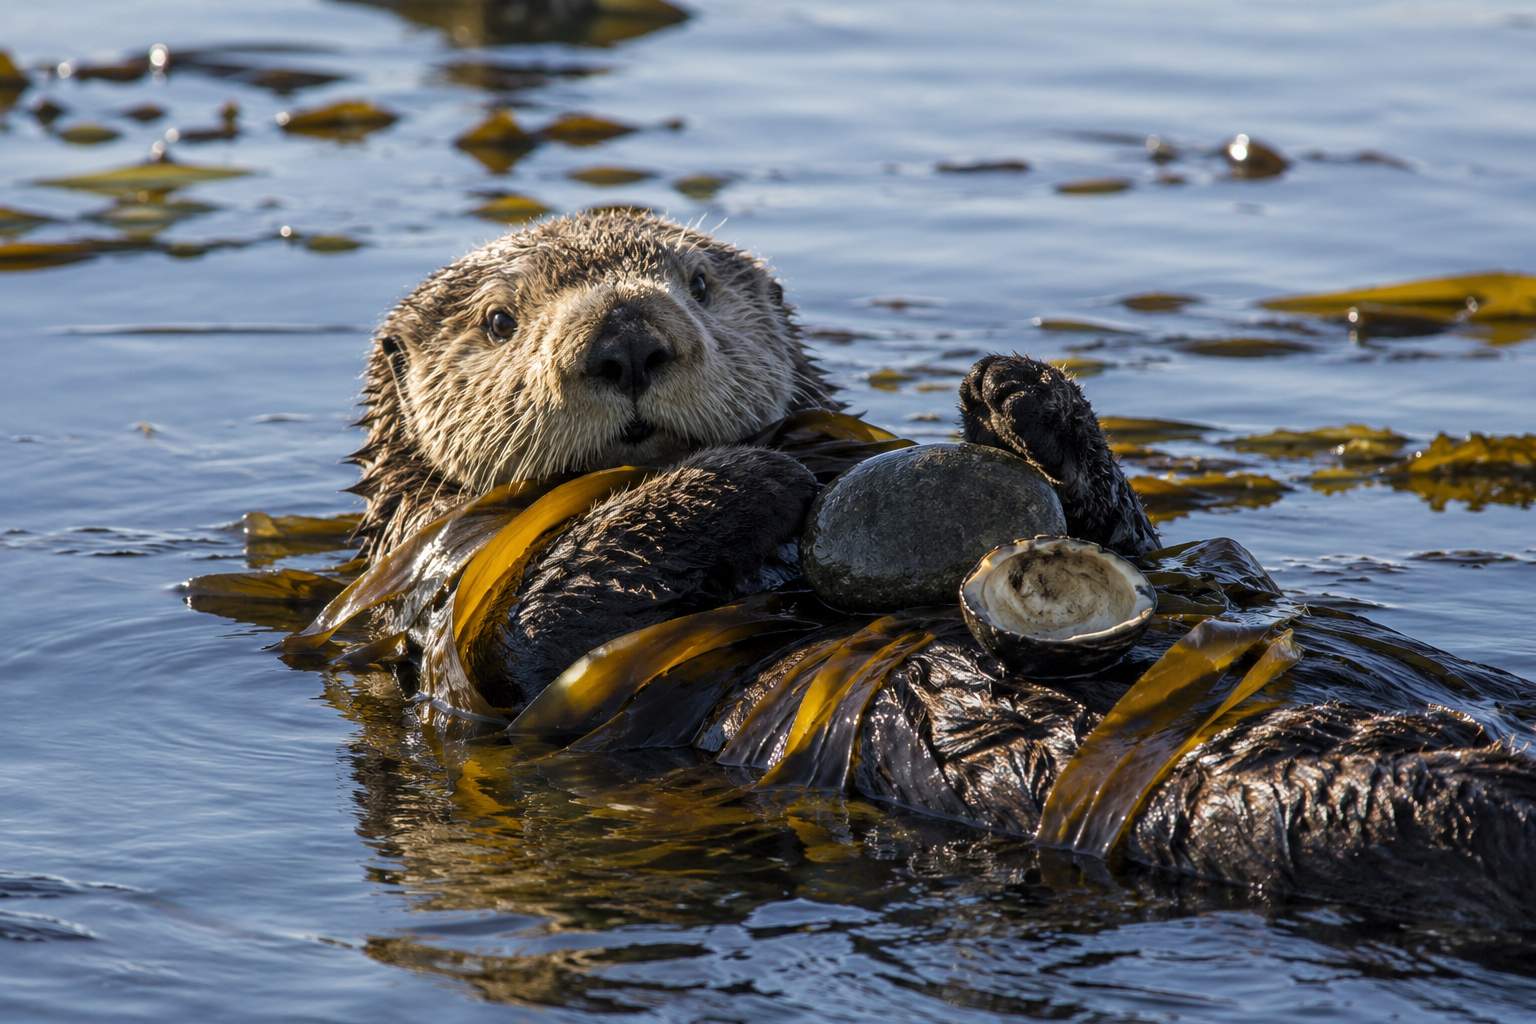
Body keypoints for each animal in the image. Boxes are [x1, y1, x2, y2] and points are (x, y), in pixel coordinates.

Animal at [344, 211, 1536, 926]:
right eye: (501, 321)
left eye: (697, 283)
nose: (630, 337)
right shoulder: (457, 636)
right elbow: (545, 620)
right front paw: (751, 467)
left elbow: (1142, 547)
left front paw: (1023, 395)